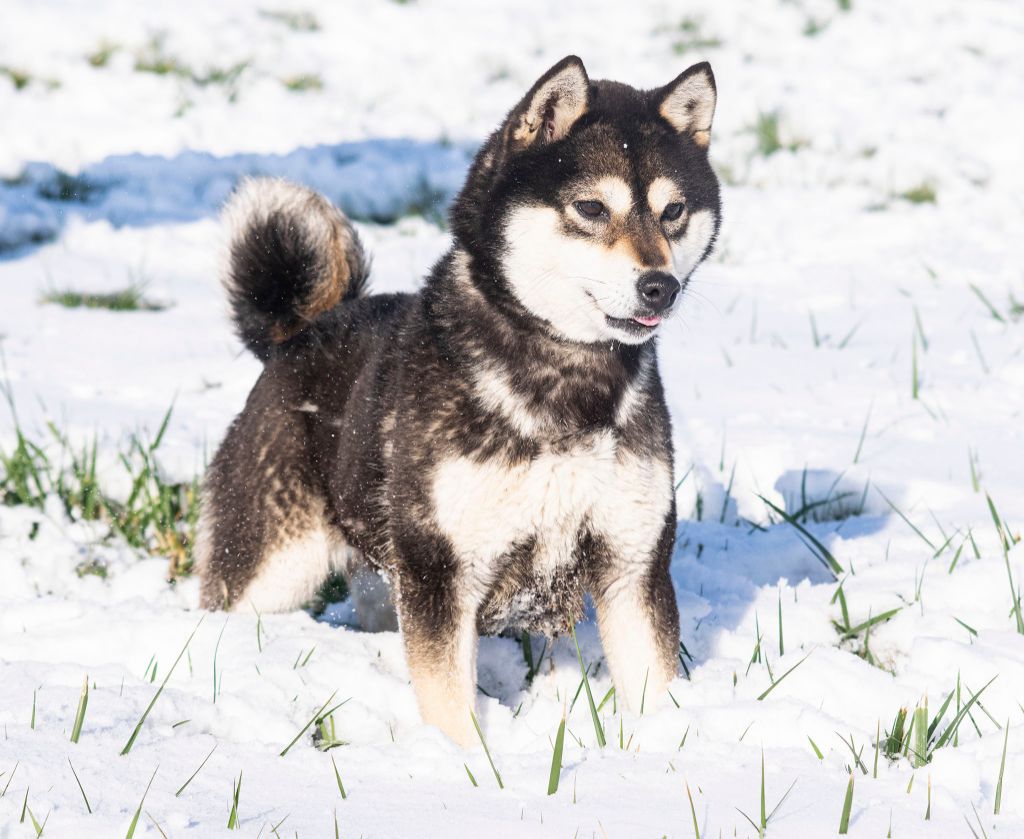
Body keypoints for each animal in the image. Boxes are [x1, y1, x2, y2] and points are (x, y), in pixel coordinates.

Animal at [197, 55, 720, 745]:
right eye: (590, 207)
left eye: (674, 210)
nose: (660, 285)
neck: (567, 381)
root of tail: (299, 333)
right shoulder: (441, 574)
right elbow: (449, 707)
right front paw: (463, 763)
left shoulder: (633, 566)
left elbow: (653, 690)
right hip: (270, 567)